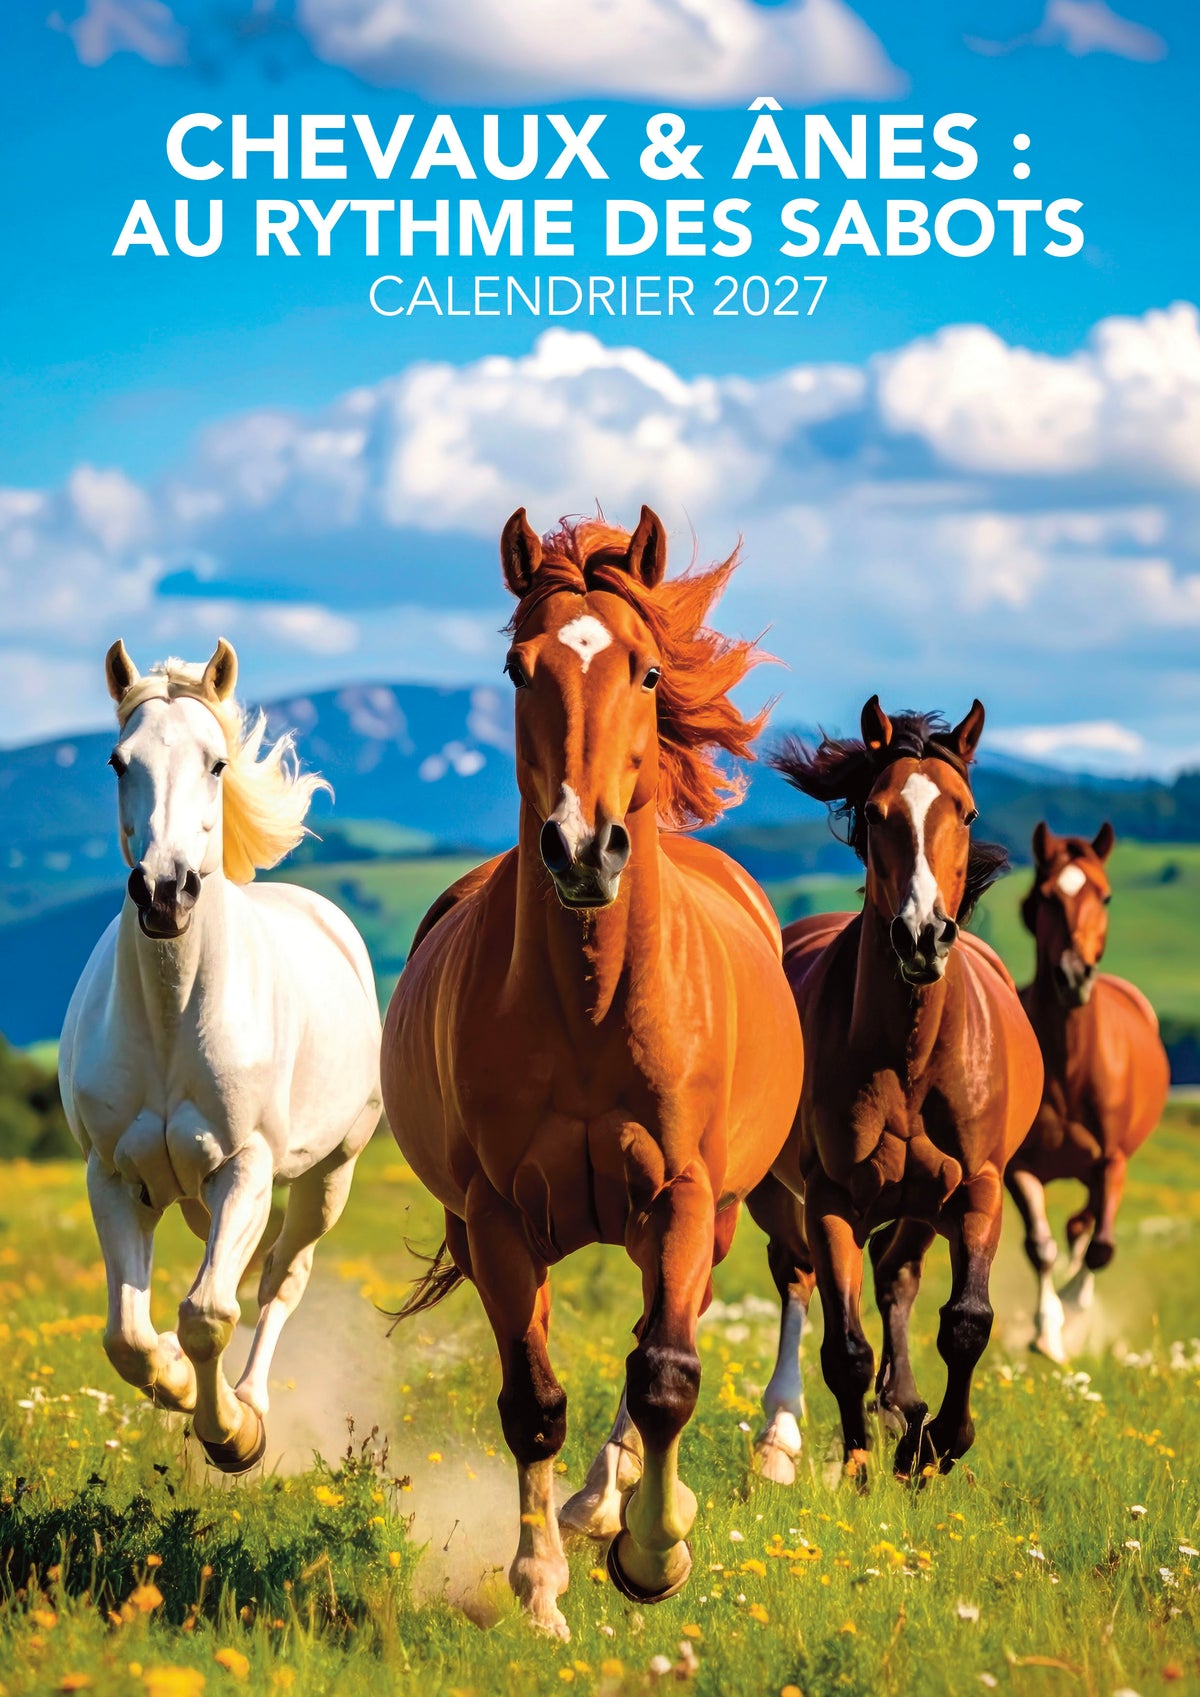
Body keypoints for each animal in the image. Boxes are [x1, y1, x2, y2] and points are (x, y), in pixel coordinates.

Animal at [59, 640, 382, 1473]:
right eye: (119, 761)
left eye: (215, 762)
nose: (164, 891)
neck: (174, 1022)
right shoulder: (113, 1175)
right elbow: (128, 1336)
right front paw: (172, 1379)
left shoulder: (245, 1167)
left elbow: (209, 1311)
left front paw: (231, 1433)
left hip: (327, 1178)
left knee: (278, 1282)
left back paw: (252, 1402)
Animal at [382, 508, 803, 1638]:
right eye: (517, 668)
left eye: (647, 669)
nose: (582, 849)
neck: (591, 999)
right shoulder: (493, 1217)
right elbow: (532, 1401)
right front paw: (538, 1593)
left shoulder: (686, 1193)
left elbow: (664, 1374)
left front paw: (654, 1554)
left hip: (714, 1212)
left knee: (662, 1340)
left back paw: (621, 1501)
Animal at [746, 697, 1043, 1482]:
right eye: (877, 812)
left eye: (966, 812)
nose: (922, 935)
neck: (910, 1056)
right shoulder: (831, 1198)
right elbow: (845, 1349)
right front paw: (857, 1468)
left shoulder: (977, 1186)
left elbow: (967, 1322)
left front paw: (933, 1444)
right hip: (775, 1196)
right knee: (797, 1278)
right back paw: (781, 1438)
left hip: (921, 1202)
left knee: (897, 1276)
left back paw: (904, 1409)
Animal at [1005, 823, 1169, 1361]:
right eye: (1047, 896)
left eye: (1106, 896)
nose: (1075, 974)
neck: (1071, 1067)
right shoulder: (1020, 1168)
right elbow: (1040, 1247)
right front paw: (1047, 1333)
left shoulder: (1112, 1161)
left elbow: (1101, 1247)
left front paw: (1074, 1310)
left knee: (1089, 1227)